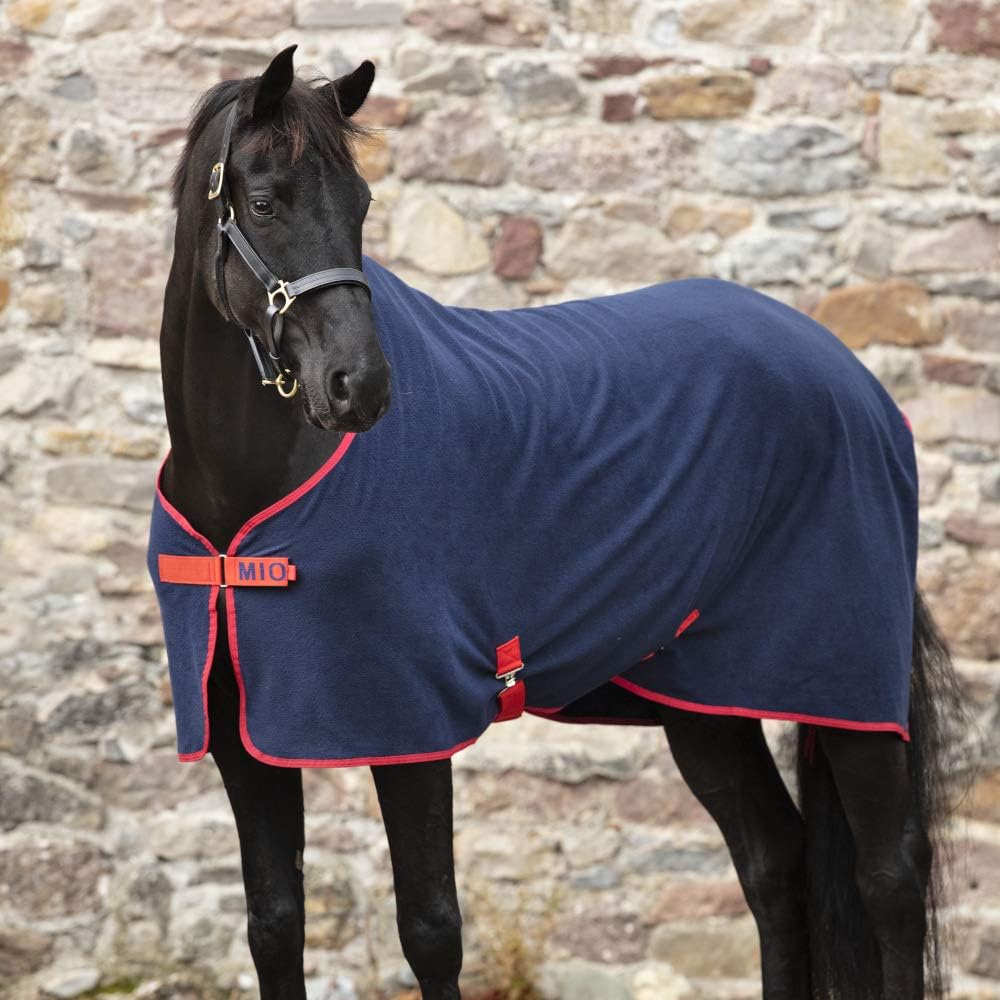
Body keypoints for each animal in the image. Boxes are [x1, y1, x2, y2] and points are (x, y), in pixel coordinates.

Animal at [150, 46, 964, 1000]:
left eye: (361, 205)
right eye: (267, 202)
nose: (361, 387)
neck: (249, 498)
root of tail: (858, 385)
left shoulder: (411, 721)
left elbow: (430, 929)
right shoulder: (240, 735)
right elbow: (275, 924)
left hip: (844, 684)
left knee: (889, 875)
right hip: (704, 698)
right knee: (774, 861)